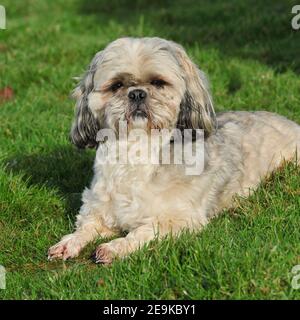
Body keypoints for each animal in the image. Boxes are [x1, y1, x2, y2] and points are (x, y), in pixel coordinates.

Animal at [47, 36, 300, 264]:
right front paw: (69, 242)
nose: (137, 93)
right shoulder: (99, 209)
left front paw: (115, 247)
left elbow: (142, 231)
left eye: (158, 82)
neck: (138, 148)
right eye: (117, 85)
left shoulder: (179, 219)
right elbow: (87, 226)